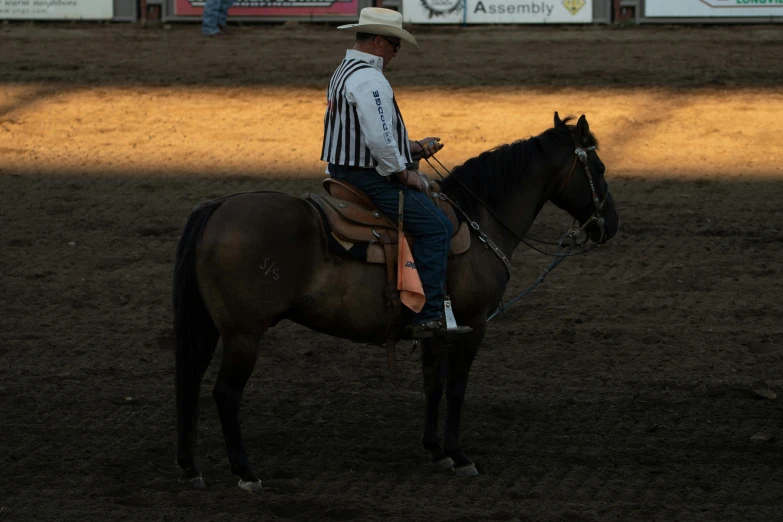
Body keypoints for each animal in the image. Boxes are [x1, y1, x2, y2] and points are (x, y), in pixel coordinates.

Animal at [172, 111, 620, 490]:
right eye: (599, 168)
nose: (611, 225)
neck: (478, 221)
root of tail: (218, 206)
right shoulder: (473, 325)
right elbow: (456, 386)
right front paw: (459, 455)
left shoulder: (435, 329)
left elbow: (433, 384)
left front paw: (436, 451)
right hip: (244, 335)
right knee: (226, 393)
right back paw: (245, 473)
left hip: (212, 328)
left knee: (191, 381)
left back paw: (191, 468)